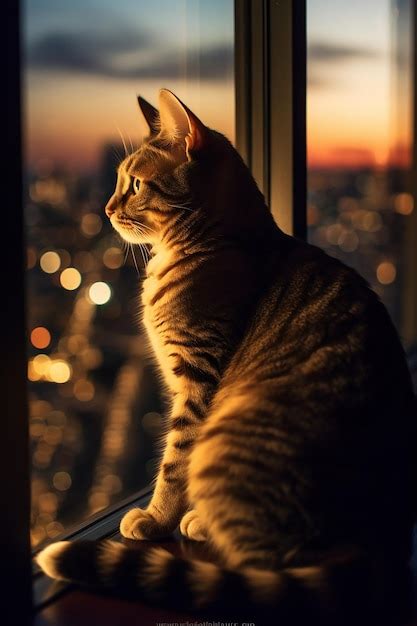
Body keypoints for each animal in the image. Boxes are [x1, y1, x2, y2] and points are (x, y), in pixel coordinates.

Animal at [36, 90, 416, 620]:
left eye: (135, 184)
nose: (106, 209)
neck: (213, 244)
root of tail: (383, 541)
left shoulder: (199, 378)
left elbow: (175, 459)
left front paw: (155, 518)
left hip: (230, 433)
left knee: (275, 566)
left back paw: (204, 525)